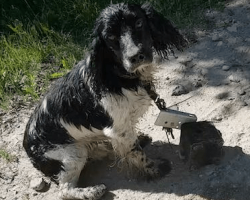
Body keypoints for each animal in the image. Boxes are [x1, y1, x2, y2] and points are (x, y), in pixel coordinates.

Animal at [23, 2, 187, 199]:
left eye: (138, 22)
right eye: (111, 37)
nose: (135, 56)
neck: (116, 74)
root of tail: (27, 146)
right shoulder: (119, 128)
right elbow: (136, 153)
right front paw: (154, 168)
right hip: (72, 153)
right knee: (64, 190)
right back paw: (92, 191)